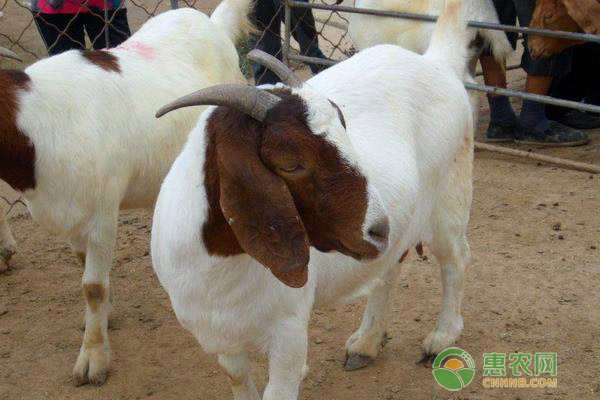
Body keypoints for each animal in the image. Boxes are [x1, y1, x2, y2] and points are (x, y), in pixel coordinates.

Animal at [0, 0, 253, 388]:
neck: (36, 125)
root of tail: (212, 24)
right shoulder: (72, 209)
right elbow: (85, 270)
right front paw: (103, 317)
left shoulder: (102, 212)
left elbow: (92, 286)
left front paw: (93, 359)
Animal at [152, 0, 476, 396]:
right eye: (291, 163)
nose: (377, 229)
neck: (221, 268)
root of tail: (435, 62)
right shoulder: (221, 340)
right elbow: (238, 380)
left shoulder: (289, 332)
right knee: (389, 267)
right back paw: (366, 342)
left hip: (449, 198)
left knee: (455, 259)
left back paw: (441, 338)